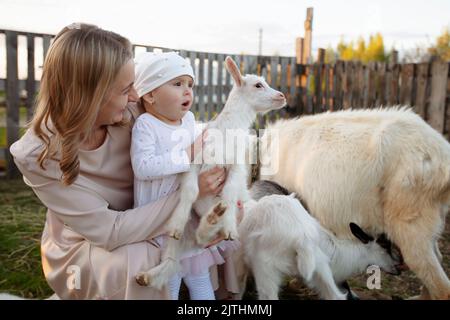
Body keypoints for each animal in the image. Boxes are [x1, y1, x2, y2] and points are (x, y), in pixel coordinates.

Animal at [135, 56, 286, 288]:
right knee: (177, 254)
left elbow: (230, 193)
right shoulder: (195, 160)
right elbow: (190, 191)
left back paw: (215, 219)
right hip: (183, 236)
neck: (227, 131)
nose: (282, 96)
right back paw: (149, 275)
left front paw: (230, 226)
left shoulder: (236, 167)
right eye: (258, 85)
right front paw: (176, 224)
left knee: (202, 240)